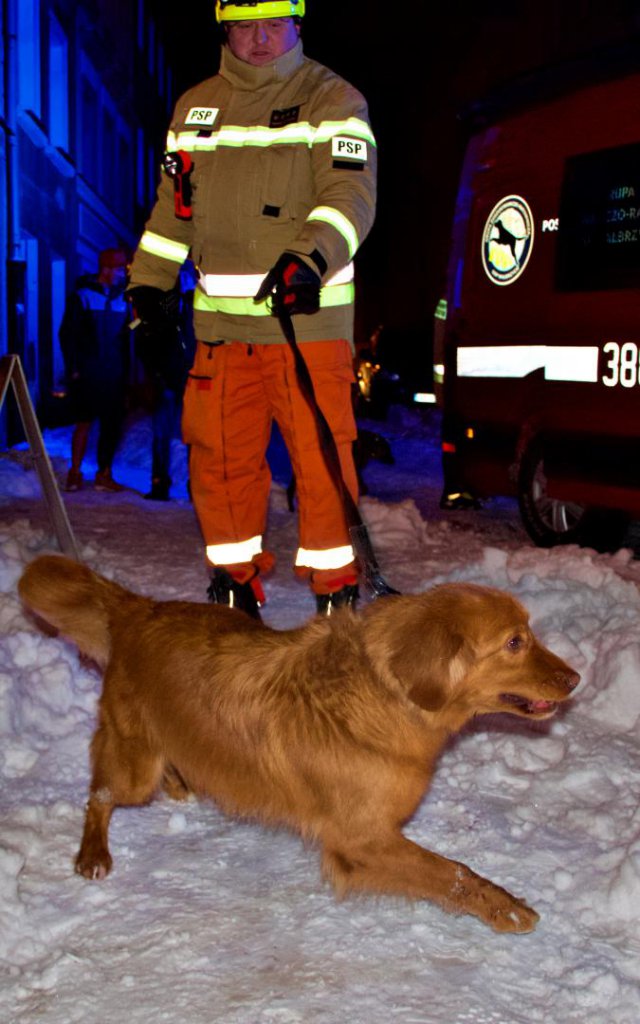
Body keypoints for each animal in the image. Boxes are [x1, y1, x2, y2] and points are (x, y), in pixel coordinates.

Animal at [18, 557, 577, 933]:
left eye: (528, 632)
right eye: (514, 643)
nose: (574, 679)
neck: (381, 694)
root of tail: (139, 608)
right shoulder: (360, 841)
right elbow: (453, 872)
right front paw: (505, 907)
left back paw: (179, 782)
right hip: (132, 767)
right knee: (99, 795)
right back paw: (93, 852)